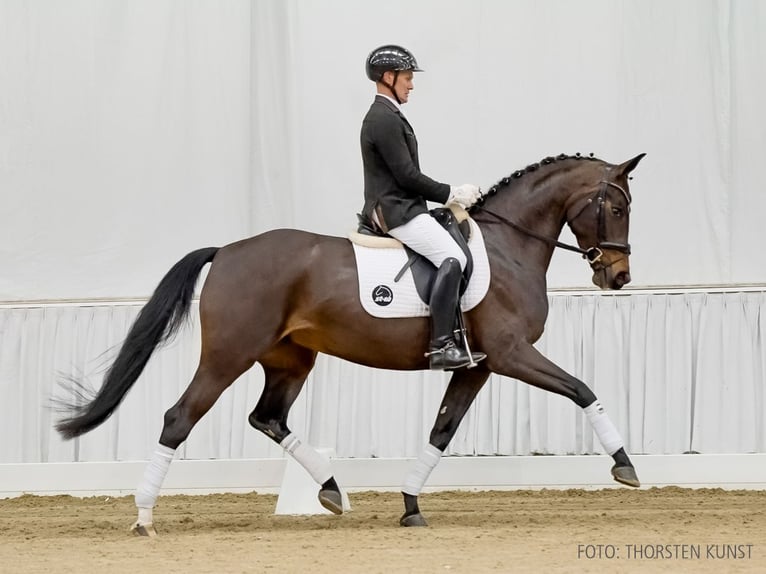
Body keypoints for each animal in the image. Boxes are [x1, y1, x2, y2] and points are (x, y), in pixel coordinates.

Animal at [57, 152, 648, 536]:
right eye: (618, 208)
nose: (618, 277)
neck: (508, 247)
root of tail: (226, 251)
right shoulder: (510, 354)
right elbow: (582, 388)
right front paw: (625, 466)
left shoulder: (476, 366)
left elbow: (441, 431)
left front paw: (410, 504)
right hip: (228, 356)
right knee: (179, 417)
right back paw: (144, 517)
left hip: (290, 360)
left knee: (267, 418)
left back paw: (333, 491)